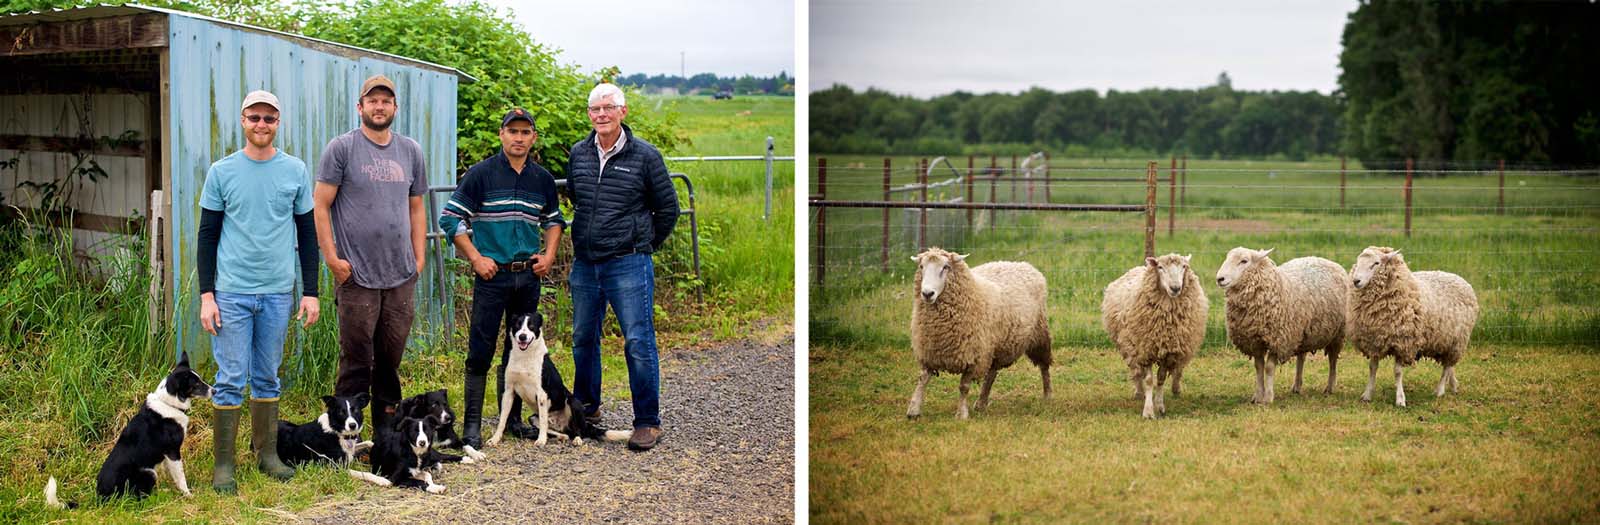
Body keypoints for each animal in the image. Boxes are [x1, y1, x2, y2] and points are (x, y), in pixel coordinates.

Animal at [45, 355, 212, 505]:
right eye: (196, 384)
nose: (215, 391)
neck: (169, 403)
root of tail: (100, 497)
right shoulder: (173, 452)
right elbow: (180, 477)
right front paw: (188, 495)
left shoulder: (166, 456)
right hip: (148, 472)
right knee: (138, 498)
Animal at [915, 248, 1049, 419]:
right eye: (921, 266)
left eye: (946, 267)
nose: (927, 293)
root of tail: (1022, 264)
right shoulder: (929, 350)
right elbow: (923, 379)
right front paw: (913, 409)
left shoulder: (974, 355)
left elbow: (964, 386)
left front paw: (961, 414)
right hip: (996, 345)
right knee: (992, 373)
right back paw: (981, 403)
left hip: (1038, 334)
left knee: (1044, 366)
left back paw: (1048, 395)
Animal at [1100, 252, 1209, 419]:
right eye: (1160, 267)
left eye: (1184, 267)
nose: (1175, 288)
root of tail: (1139, 267)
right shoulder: (1145, 350)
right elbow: (1149, 380)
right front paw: (1148, 411)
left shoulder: (1168, 352)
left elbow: (1161, 379)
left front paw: (1160, 406)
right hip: (1129, 346)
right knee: (1135, 370)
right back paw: (1139, 392)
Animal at [1216, 248, 1344, 403]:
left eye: (1244, 261)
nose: (1220, 279)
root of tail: (1325, 259)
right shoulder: (1254, 341)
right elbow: (1259, 367)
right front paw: (1258, 396)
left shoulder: (1278, 339)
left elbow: (1269, 368)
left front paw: (1268, 397)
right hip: (1302, 334)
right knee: (1301, 358)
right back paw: (1297, 386)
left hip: (1337, 334)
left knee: (1333, 360)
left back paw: (1329, 387)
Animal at [1344, 246, 1478, 406]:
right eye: (1358, 262)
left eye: (1376, 263)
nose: (1356, 281)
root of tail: (1461, 279)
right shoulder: (1374, 341)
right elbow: (1372, 368)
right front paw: (1367, 394)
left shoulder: (1403, 342)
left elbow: (1397, 372)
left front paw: (1400, 399)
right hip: (1446, 341)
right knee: (1450, 365)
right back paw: (1453, 385)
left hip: (1457, 341)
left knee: (1446, 366)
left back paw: (1440, 390)